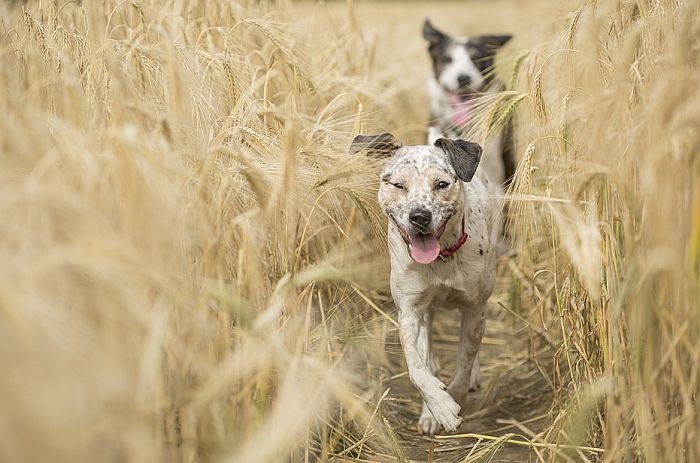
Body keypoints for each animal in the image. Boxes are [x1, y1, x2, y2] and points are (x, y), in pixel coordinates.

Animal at [352, 133, 500, 436]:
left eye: (441, 184)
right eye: (398, 184)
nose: (419, 216)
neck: (441, 258)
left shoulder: (474, 307)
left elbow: (464, 362)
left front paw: (452, 399)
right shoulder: (410, 310)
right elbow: (416, 367)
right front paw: (438, 407)